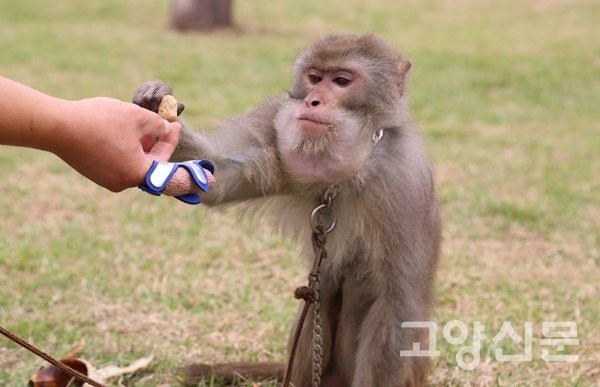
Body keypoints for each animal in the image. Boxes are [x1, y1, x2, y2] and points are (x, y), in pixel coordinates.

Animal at [132, 34, 440, 387]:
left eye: (342, 81)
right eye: (315, 78)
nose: (313, 102)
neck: (354, 170)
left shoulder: (403, 183)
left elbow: (395, 307)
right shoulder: (275, 120)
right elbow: (219, 174)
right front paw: (154, 106)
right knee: (327, 281)